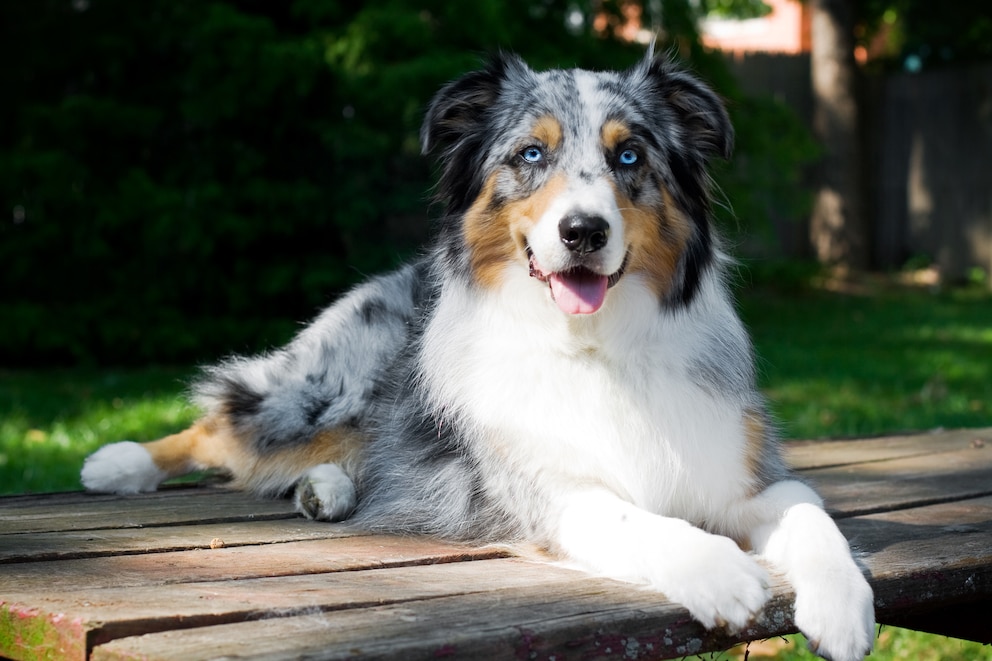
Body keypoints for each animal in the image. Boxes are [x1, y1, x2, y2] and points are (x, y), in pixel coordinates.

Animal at [83, 50, 876, 660]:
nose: (583, 231)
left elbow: (812, 512)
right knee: (226, 421)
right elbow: (636, 519)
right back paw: (120, 462)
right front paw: (720, 570)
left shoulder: (745, 476)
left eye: (629, 155)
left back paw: (327, 489)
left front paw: (843, 606)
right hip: (323, 392)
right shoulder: (545, 493)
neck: (594, 347)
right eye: (531, 154)